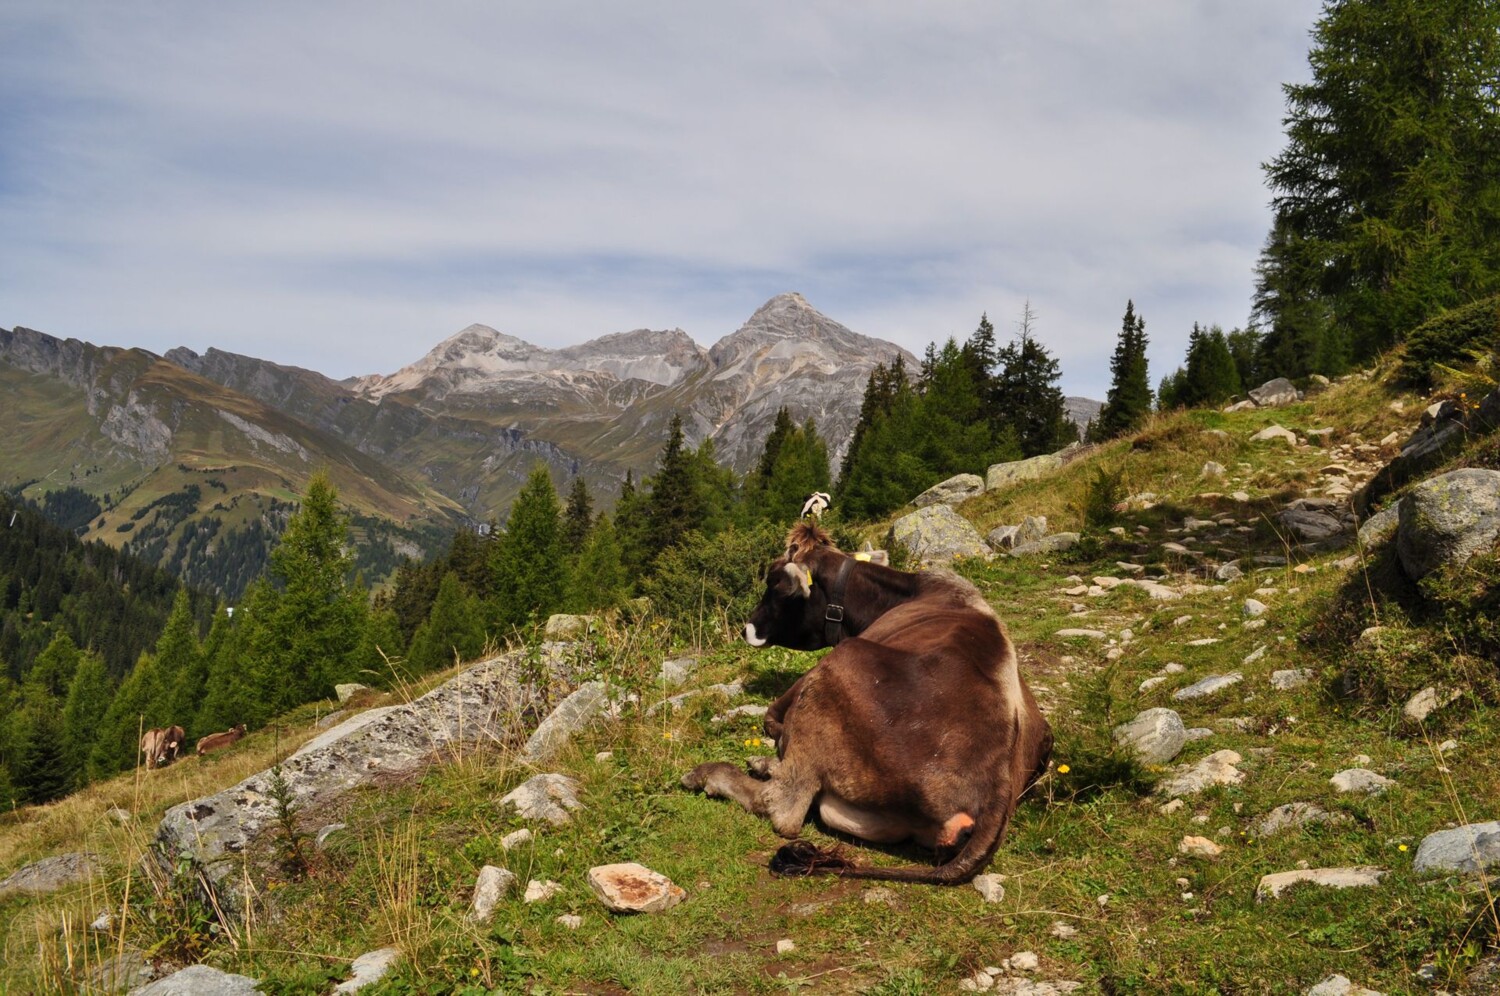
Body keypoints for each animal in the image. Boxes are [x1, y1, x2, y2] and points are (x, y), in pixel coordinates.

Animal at [682, 521, 1052, 884]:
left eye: (775, 585)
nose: (746, 628)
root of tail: (997, 787)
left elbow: (772, 719)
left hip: (836, 671)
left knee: (784, 805)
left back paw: (711, 774)